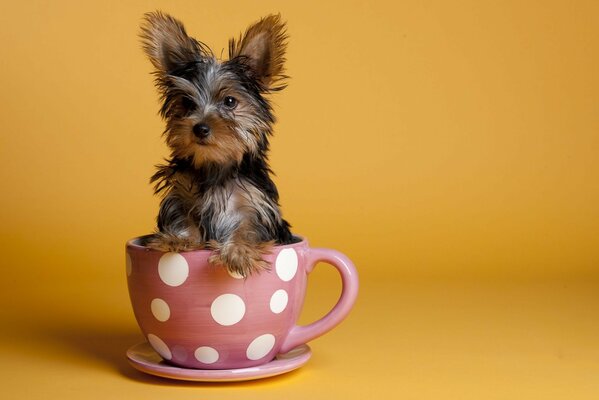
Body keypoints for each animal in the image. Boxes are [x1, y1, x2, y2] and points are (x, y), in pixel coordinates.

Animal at [138, 10, 292, 276]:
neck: (215, 165)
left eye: (230, 101)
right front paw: (177, 238)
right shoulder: (180, 194)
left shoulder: (256, 204)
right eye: (187, 103)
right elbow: (183, 216)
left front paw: (238, 252)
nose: (200, 128)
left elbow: (248, 228)